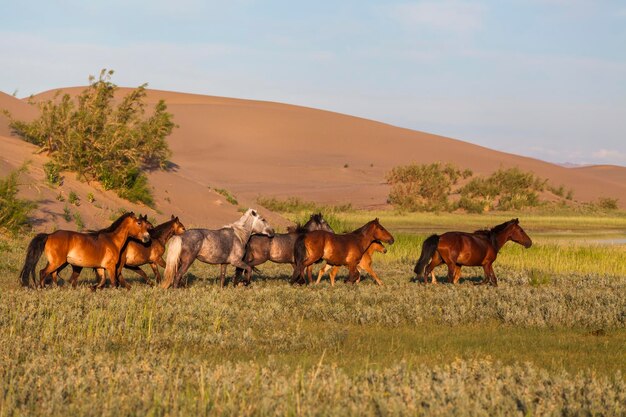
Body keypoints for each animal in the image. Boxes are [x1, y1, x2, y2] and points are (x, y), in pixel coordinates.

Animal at [19, 213, 151, 288]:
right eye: (139, 223)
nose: (147, 237)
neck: (112, 240)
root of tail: (50, 235)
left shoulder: (100, 267)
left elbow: (102, 282)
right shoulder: (110, 267)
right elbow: (113, 283)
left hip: (58, 263)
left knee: (53, 274)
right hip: (57, 262)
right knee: (43, 272)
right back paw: (42, 288)